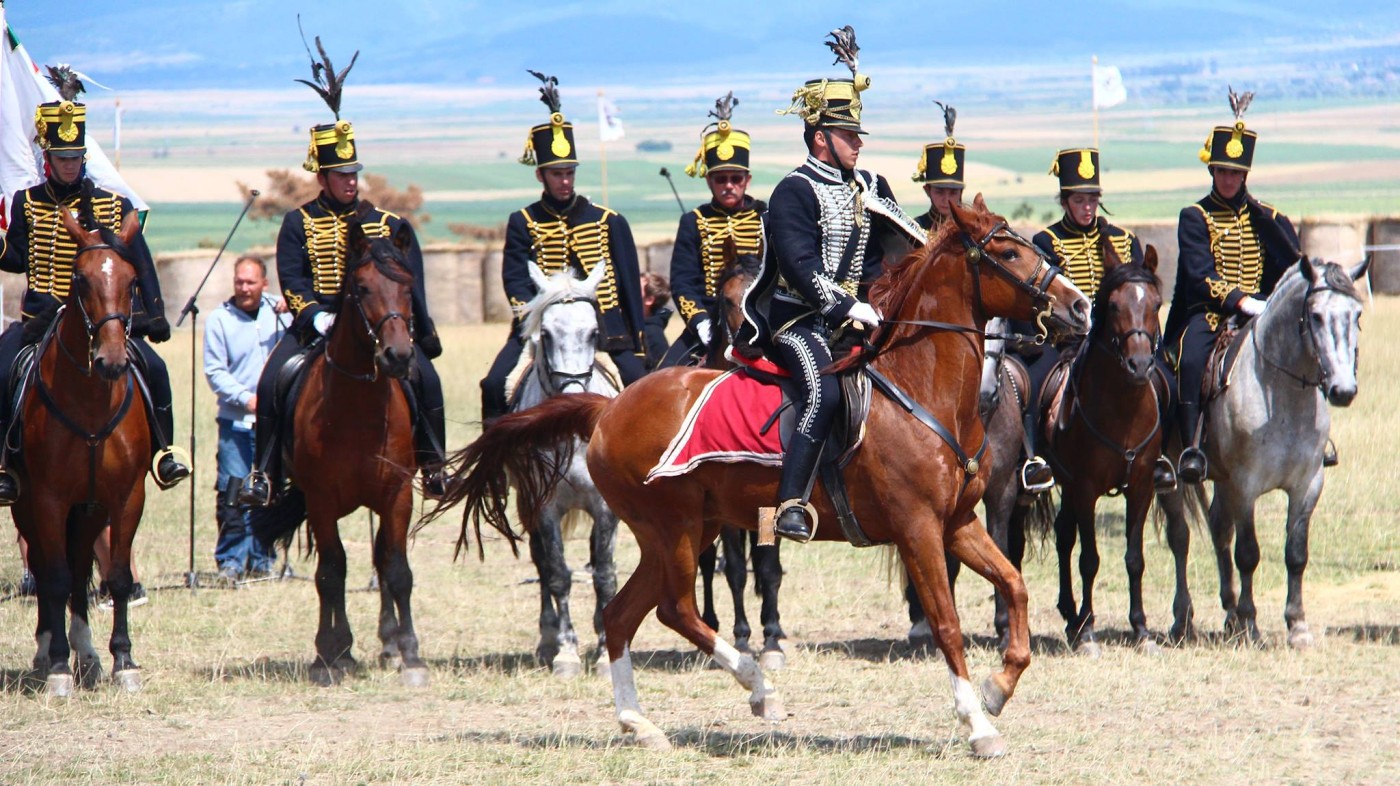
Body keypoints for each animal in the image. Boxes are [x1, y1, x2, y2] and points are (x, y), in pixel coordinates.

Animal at [14, 209, 149, 696]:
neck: (91, 402)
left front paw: (123, 661)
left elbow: (118, 577)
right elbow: (52, 578)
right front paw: (56, 667)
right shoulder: (48, 499)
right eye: (80, 279)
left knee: (77, 571)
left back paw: (87, 655)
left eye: (132, 280)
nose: (111, 360)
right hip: (27, 505)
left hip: (88, 510)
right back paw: (47, 651)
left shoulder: (125, 498)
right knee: (47, 568)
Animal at [275, 204, 432, 686]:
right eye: (361, 288)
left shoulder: (397, 494)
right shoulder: (321, 500)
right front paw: (334, 651)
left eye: (408, 285)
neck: (358, 405)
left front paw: (411, 654)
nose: (398, 357)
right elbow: (332, 571)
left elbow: (397, 568)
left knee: (381, 557)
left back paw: (389, 642)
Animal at [505, 260, 620, 679]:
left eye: (594, 333)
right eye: (547, 334)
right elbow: (557, 574)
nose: (572, 400)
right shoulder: (545, 509)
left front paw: (605, 654)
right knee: (541, 564)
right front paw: (566, 653)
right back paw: (547, 639)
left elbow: (604, 576)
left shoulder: (605, 508)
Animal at [1026, 247, 1169, 656]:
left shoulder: (1142, 487)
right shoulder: (1086, 487)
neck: (1123, 410)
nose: (1140, 364)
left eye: (1155, 304)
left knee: (1063, 534)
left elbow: (1135, 558)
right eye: (1116, 305)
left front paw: (1141, 630)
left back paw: (1071, 616)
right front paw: (1089, 632)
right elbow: (1089, 559)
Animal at [1158, 256, 1369, 648]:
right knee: (1181, 538)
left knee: (1218, 528)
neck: (1283, 392)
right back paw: (1184, 620)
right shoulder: (1246, 486)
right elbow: (1248, 554)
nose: (1343, 390)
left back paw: (1228, 613)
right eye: (1315, 316)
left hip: (1222, 478)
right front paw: (1251, 623)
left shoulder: (1307, 485)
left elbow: (1296, 554)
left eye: (1357, 314)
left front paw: (1297, 625)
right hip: (1171, 477)